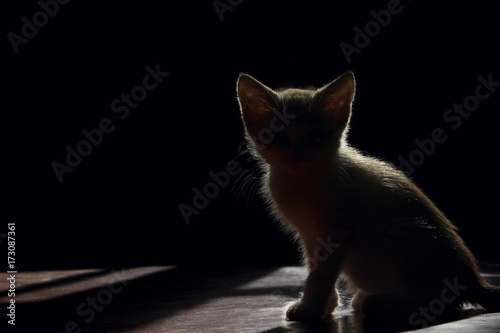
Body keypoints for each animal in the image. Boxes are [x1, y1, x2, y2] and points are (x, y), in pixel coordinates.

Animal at [236, 71, 500, 322]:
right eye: (279, 137)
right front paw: (327, 305)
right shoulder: (309, 234)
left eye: (317, 137)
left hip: (396, 232)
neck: (302, 181)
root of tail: (472, 277)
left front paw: (310, 309)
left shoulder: (337, 231)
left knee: (440, 302)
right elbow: (315, 267)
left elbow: (321, 274)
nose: (297, 157)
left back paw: (376, 303)